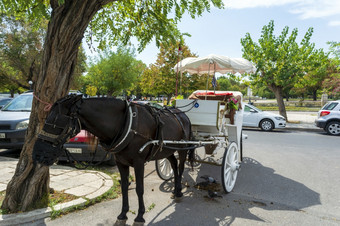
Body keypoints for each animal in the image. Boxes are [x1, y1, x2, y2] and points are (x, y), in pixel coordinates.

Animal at [33, 94, 195, 224]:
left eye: (57, 122)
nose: (37, 154)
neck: (127, 124)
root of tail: (182, 114)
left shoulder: (139, 163)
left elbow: (139, 188)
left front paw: (140, 216)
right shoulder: (120, 162)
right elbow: (124, 187)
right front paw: (123, 214)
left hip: (183, 148)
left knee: (180, 167)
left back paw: (179, 191)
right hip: (167, 150)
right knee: (173, 164)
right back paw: (175, 190)